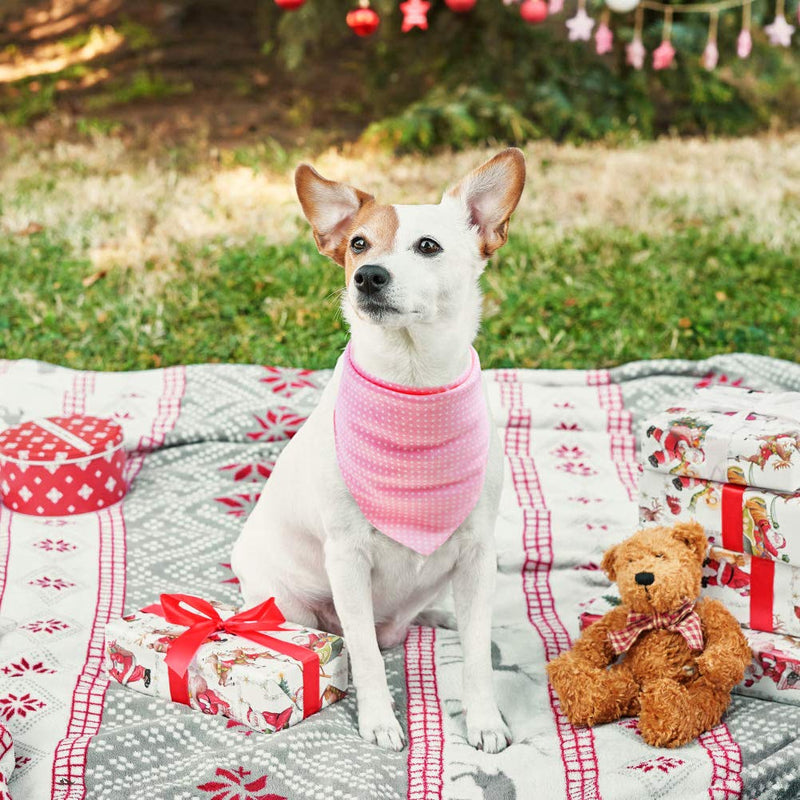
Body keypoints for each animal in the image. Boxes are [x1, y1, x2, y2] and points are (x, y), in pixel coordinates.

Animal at [233, 147, 524, 752]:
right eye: (359, 244)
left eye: (428, 246)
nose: (368, 276)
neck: (411, 386)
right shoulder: (347, 559)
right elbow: (365, 655)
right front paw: (379, 721)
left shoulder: (478, 553)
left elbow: (478, 657)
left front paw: (484, 720)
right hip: (289, 602)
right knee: (355, 634)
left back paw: (441, 615)